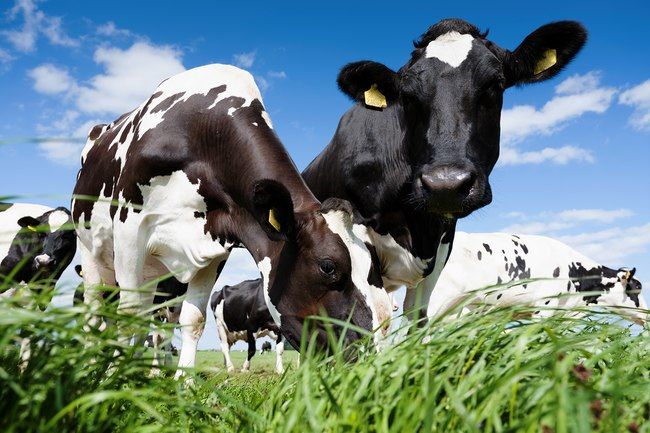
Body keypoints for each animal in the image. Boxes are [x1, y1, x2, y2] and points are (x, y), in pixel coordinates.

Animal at [72, 64, 388, 379]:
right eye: (328, 266)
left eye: (371, 267)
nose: (364, 353)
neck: (204, 134)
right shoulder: (130, 229)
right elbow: (127, 314)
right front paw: (114, 378)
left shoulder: (213, 245)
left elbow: (193, 320)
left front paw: (184, 382)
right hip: (91, 251)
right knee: (96, 314)